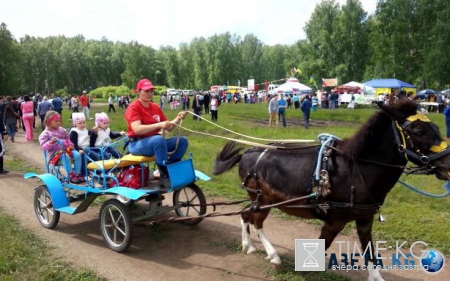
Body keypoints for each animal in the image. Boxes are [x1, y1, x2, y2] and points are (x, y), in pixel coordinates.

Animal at [213, 97, 450, 278]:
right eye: (418, 131)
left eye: (437, 127)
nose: (448, 164)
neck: (356, 168)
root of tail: (248, 153)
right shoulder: (335, 221)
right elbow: (322, 246)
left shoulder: (365, 219)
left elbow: (369, 252)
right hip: (262, 199)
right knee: (256, 221)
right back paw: (273, 256)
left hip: (259, 199)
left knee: (245, 214)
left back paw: (249, 246)